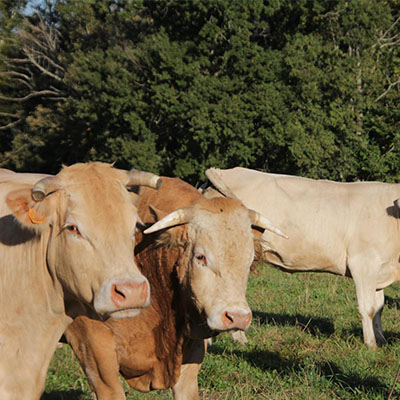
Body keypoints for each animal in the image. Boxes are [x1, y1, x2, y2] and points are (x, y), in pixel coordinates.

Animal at [205, 167, 400, 348]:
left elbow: (379, 308)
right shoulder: (363, 263)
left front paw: (381, 339)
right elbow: (368, 308)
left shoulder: (380, 269)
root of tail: (224, 171)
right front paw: (371, 345)